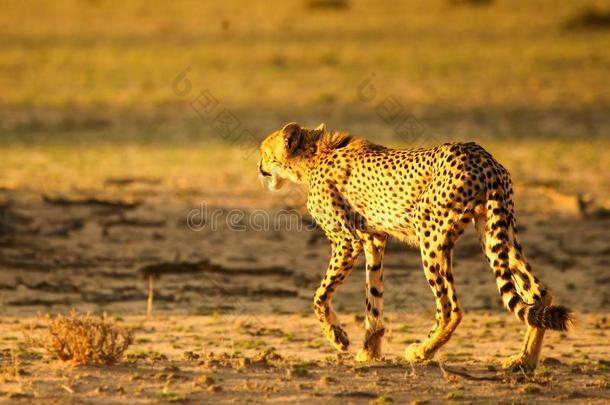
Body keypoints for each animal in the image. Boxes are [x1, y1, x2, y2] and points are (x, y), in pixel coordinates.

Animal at [255, 122, 568, 370]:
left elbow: (320, 296)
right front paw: (369, 351)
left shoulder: (347, 241)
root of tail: (481, 156)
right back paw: (524, 361)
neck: (315, 155)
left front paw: (338, 337)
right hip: (496, 234)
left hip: (430, 234)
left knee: (451, 307)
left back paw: (421, 351)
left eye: (264, 153)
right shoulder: (374, 238)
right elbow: (373, 297)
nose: (259, 168)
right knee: (539, 294)